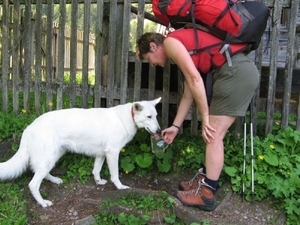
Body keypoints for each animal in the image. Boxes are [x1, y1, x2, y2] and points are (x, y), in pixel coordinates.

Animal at [0, 97, 162, 207]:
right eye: (149, 117)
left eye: (156, 116)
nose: (159, 131)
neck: (128, 117)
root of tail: (29, 128)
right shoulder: (112, 153)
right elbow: (115, 175)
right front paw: (120, 187)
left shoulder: (102, 154)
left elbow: (96, 170)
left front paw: (98, 182)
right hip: (49, 158)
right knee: (33, 184)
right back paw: (43, 203)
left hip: (54, 156)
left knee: (40, 172)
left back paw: (55, 180)